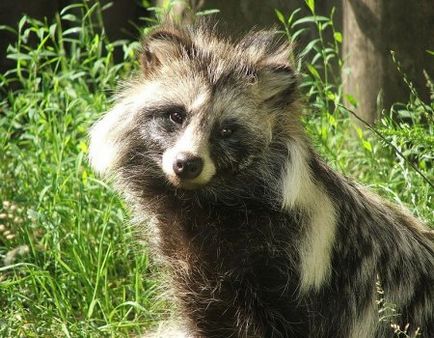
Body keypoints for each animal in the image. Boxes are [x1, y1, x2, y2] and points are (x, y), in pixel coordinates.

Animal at [89, 19, 434, 336]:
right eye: (177, 115)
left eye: (226, 130)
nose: (186, 164)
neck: (206, 204)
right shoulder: (193, 271)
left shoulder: (302, 267)